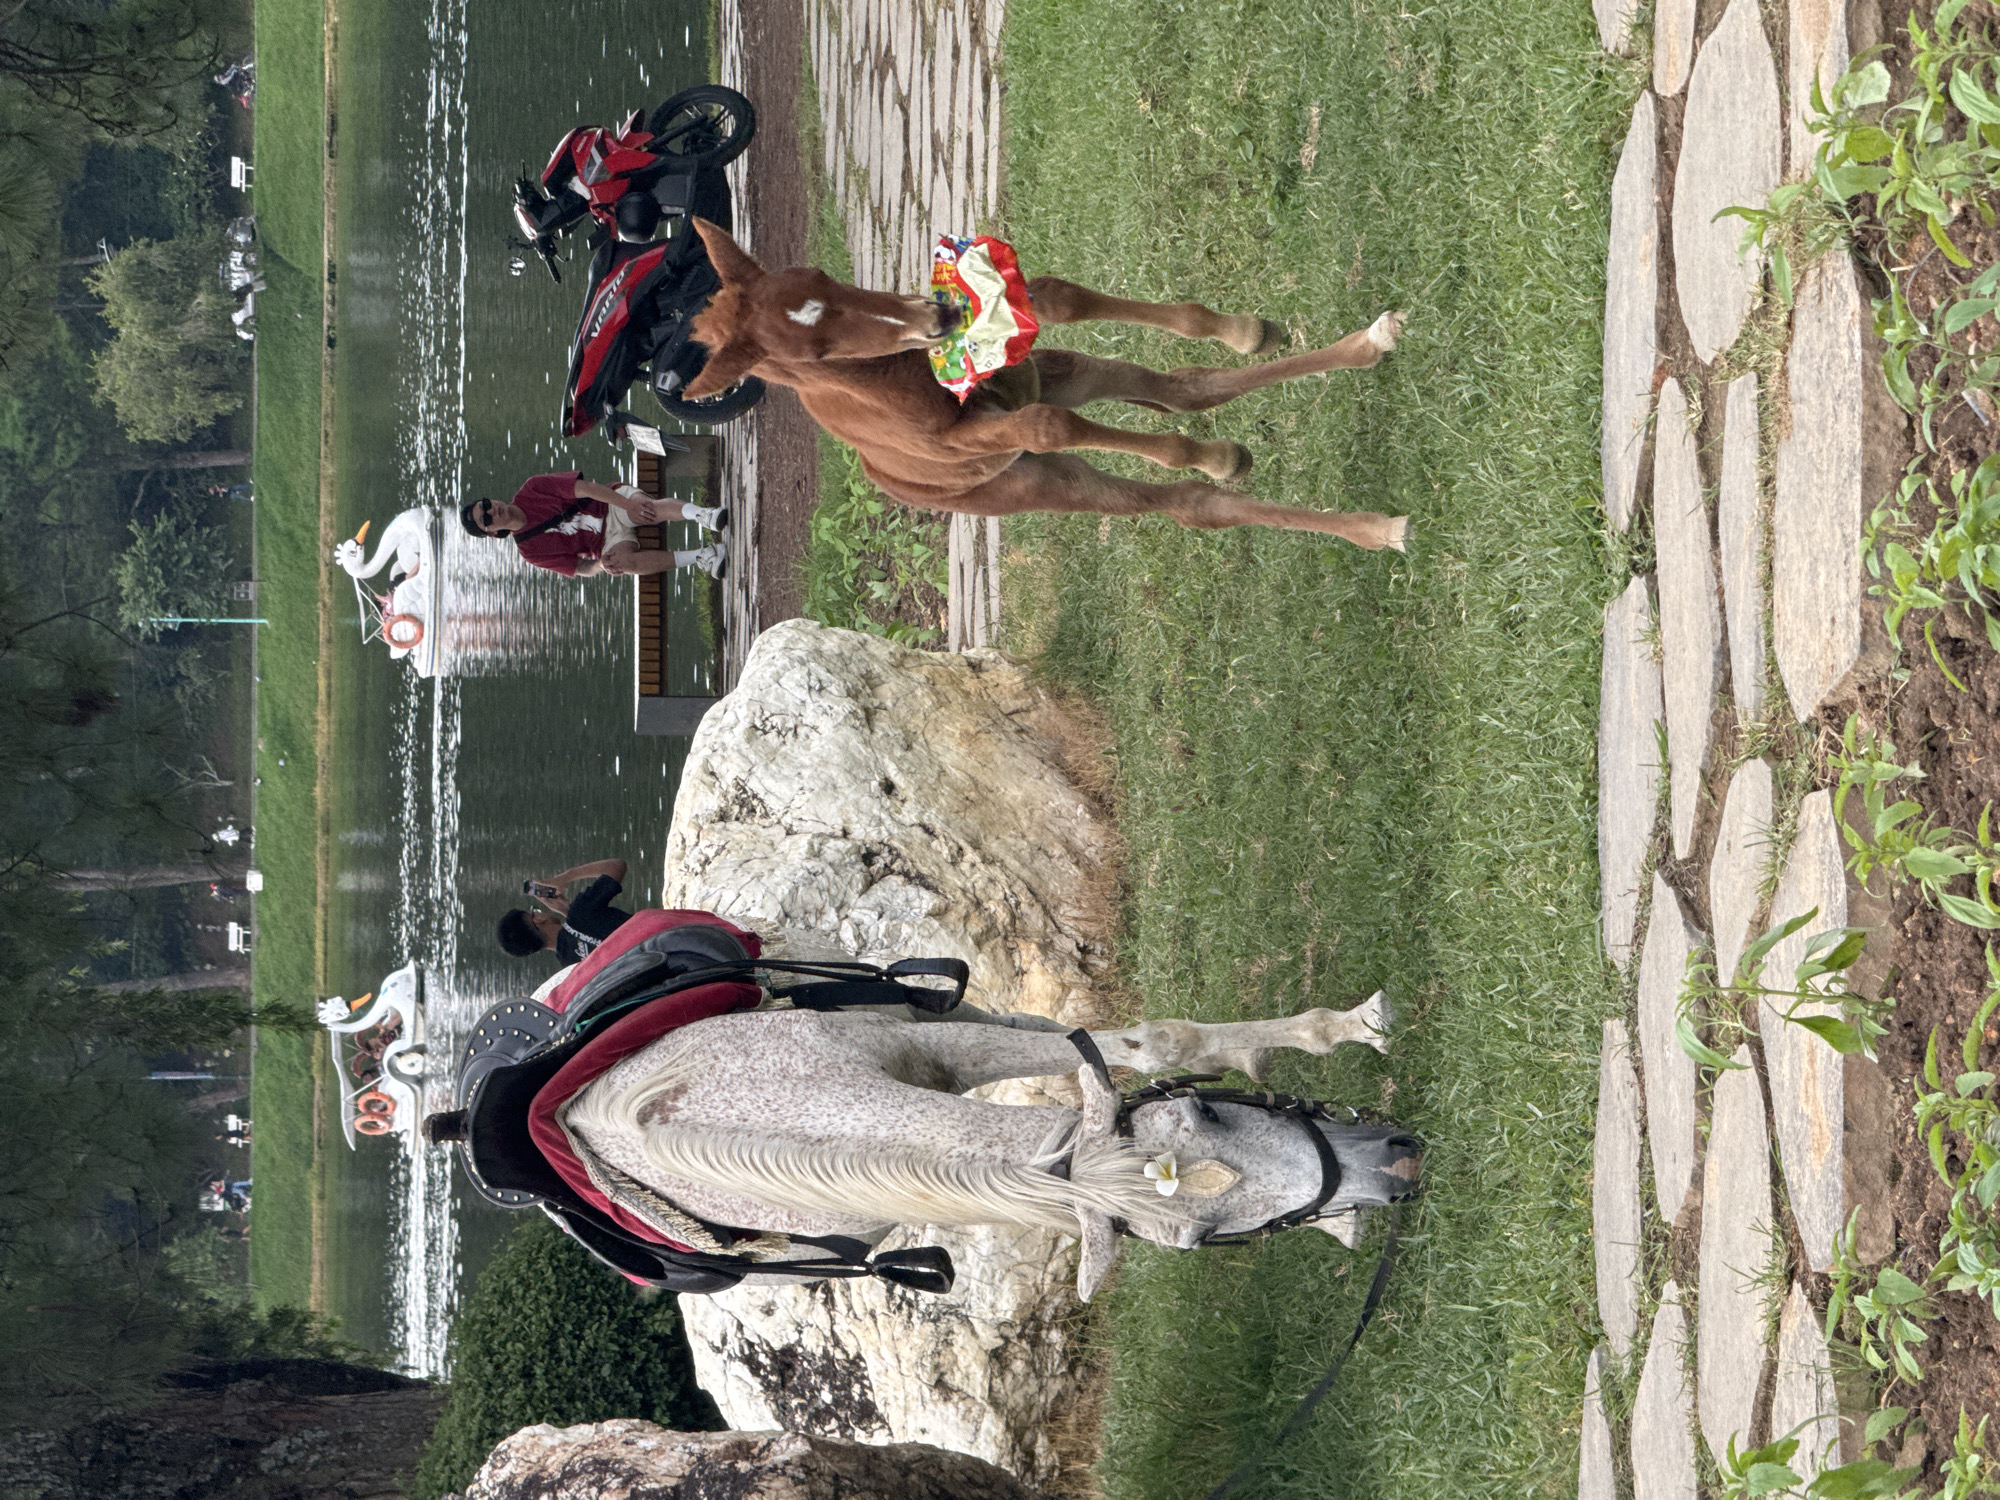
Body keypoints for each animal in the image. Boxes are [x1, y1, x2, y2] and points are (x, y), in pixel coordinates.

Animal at [561, 992, 1418, 1300]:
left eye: (1208, 1108)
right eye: (1199, 1241)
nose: (1392, 1165)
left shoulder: (940, 1047)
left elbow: (1147, 1041)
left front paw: (1350, 1025)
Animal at [680, 218, 1411, 550]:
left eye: (824, 277)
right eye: (818, 353)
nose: (939, 318)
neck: (899, 377)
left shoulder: (1018, 353)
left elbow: (1057, 297)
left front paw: (1236, 329)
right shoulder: (978, 431)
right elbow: (1050, 424)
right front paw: (1190, 452)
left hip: (1062, 374)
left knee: (1187, 391)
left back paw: (1360, 349)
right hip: (1034, 482)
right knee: (1187, 503)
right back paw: (1372, 526)